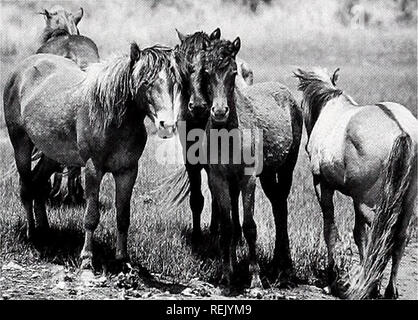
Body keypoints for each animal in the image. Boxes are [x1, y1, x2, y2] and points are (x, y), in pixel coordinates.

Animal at [2, 43, 186, 268]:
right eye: (145, 82)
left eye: (174, 83)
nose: (166, 124)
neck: (111, 118)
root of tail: (22, 69)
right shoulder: (93, 169)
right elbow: (91, 216)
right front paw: (87, 258)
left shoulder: (127, 171)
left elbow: (123, 216)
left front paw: (123, 258)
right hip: (21, 144)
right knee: (26, 187)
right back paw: (32, 234)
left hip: (53, 155)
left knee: (38, 183)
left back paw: (44, 230)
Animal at [294, 68, 418, 300]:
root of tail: (401, 131)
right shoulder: (355, 198)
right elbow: (359, 235)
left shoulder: (322, 184)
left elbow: (331, 230)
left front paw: (331, 279)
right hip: (407, 199)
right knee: (399, 236)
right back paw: (388, 288)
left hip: (368, 201)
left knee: (380, 234)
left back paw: (369, 284)